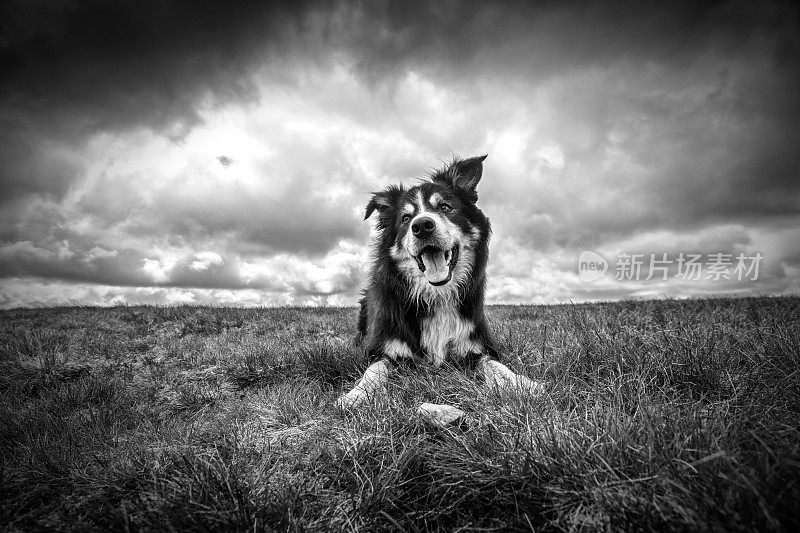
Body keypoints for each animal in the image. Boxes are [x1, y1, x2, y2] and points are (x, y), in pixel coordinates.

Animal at [338, 155, 544, 420]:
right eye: (405, 219)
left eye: (445, 207)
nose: (422, 226)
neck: (436, 296)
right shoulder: (382, 349)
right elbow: (375, 370)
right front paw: (356, 396)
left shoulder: (476, 345)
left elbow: (496, 365)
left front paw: (522, 383)